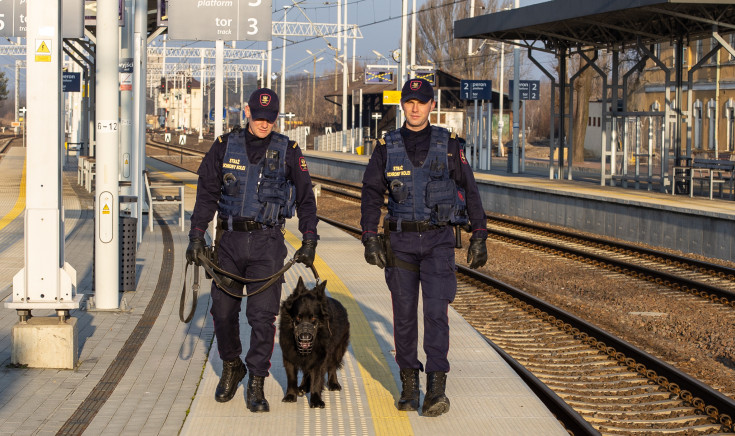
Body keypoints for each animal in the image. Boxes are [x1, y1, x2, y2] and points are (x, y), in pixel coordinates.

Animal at [282, 278, 350, 408]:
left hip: (337, 350)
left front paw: (316, 400)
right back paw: (303, 387)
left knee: (332, 366)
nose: (305, 338)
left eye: (313, 319)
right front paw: (290, 396)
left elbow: (317, 379)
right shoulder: (289, 356)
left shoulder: (320, 358)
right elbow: (291, 378)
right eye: (298, 318)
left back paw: (333, 383)